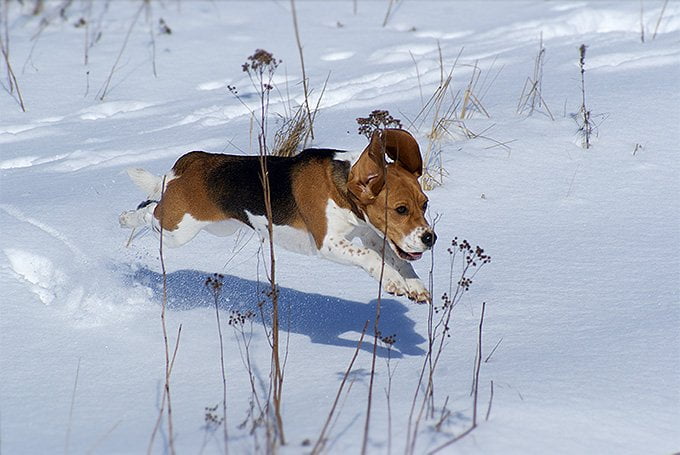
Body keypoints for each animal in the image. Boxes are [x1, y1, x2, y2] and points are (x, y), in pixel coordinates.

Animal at [121, 128, 436, 302]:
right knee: (148, 212)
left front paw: (414, 284)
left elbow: (397, 259)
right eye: (400, 209)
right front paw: (393, 281)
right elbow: (370, 258)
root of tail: (190, 162)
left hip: (216, 227)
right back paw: (125, 218)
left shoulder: (371, 234)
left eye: (425, 204)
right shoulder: (329, 243)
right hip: (178, 228)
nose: (430, 238)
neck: (343, 187)